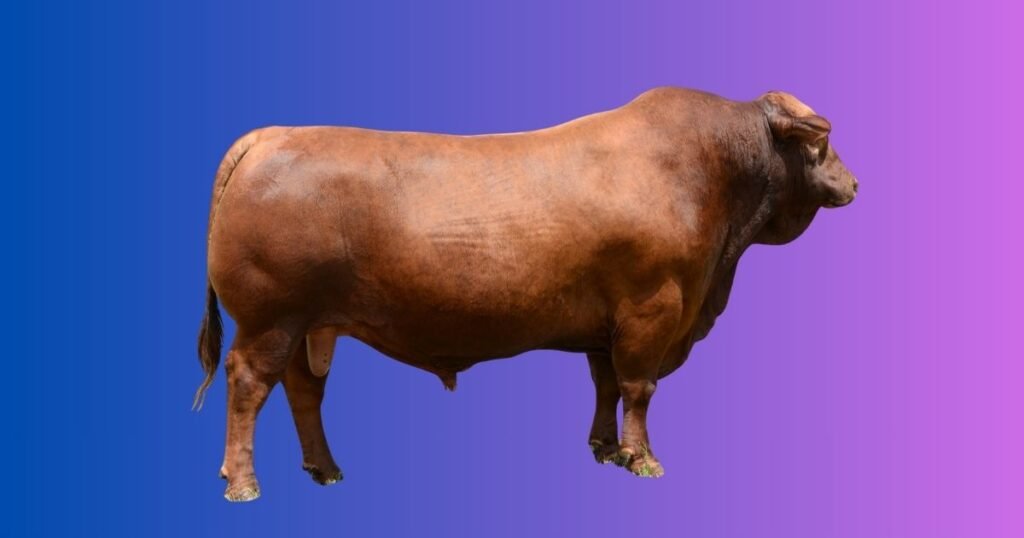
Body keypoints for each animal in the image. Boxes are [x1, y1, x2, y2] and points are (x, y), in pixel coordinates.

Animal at [195, 87, 857, 501]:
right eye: (820, 143)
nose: (853, 183)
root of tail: (269, 136)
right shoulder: (653, 307)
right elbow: (639, 387)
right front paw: (642, 459)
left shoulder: (607, 324)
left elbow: (607, 384)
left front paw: (604, 448)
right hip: (270, 319)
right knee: (249, 384)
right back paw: (243, 483)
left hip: (310, 324)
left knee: (304, 390)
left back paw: (326, 469)